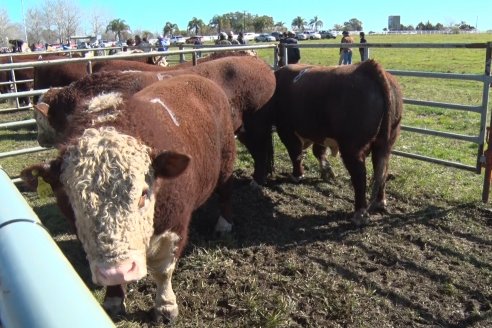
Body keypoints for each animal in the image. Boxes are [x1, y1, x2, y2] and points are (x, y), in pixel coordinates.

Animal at [22, 73, 237, 320]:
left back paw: (224, 224)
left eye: (143, 194)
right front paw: (114, 298)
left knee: (226, 192)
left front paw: (166, 306)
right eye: (70, 201)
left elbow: (163, 271)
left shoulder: (174, 227)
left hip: (226, 163)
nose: (118, 270)